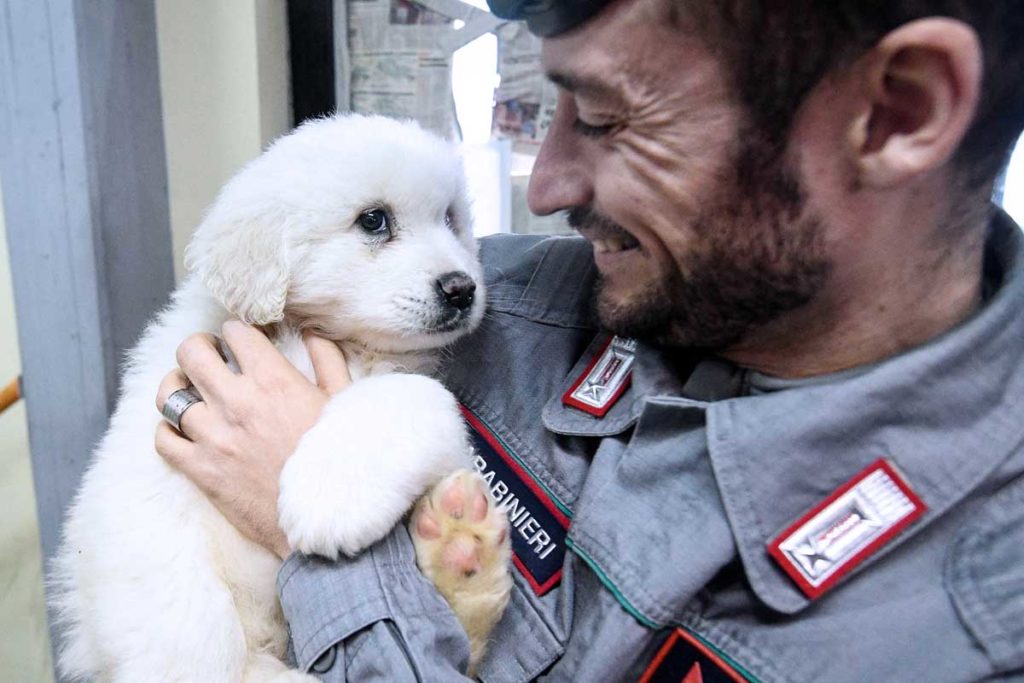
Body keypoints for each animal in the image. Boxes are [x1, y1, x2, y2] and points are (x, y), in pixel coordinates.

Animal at [54, 114, 509, 679]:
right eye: (374, 220)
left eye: (451, 219)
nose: (462, 289)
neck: (338, 340)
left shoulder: (414, 386)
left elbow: (409, 396)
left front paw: (331, 496)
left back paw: (462, 551)